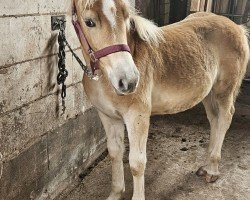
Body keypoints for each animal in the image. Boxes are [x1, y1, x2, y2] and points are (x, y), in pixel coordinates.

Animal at [72, 0, 248, 200]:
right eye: (89, 22)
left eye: (126, 17)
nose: (129, 81)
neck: (104, 79)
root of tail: (238, 28)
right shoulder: (108, 117)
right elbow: (115, 153)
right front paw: (116, 193)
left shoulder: (137, 116)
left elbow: (137, 163)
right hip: (208, 94)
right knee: (214, 121)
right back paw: (207, 165)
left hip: (224, 91)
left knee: (225, 119)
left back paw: (212, 170)